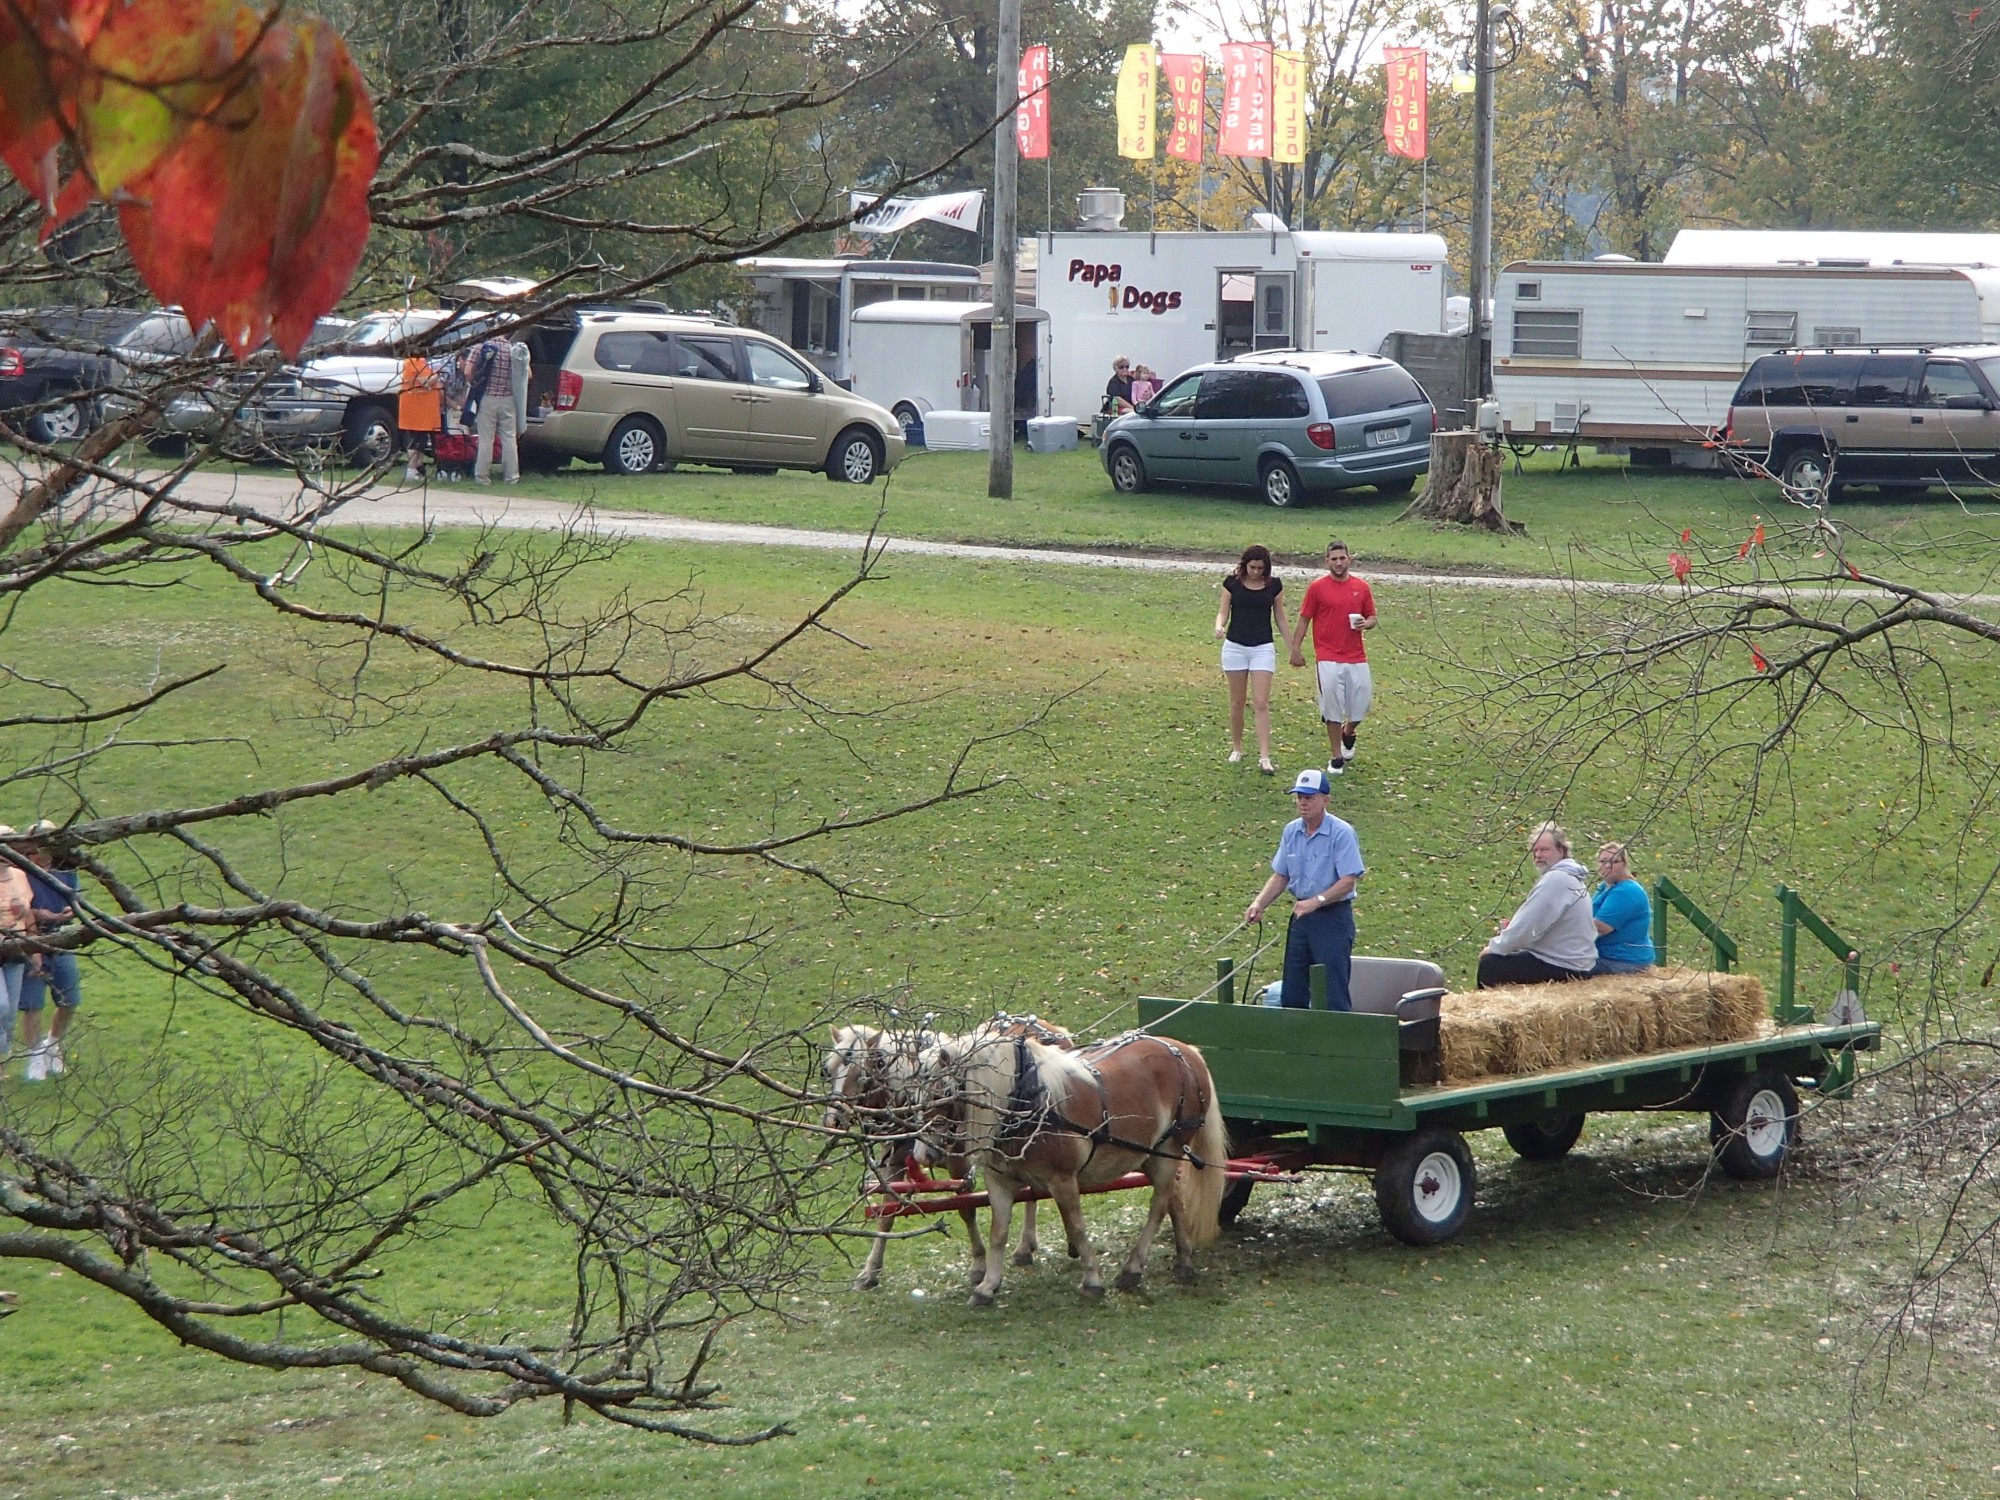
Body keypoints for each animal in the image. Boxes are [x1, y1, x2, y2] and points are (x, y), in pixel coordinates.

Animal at [820, 1024, 1072, 1296]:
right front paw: (870, 1271)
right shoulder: (893, 1162)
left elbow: (966, 1209)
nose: (833, 1120)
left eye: (861, 1074)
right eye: (828, 1070)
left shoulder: (958, 1164)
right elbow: (887, 1214)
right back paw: (1026, 1246)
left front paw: (979, 1265)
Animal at [924, 1032, 1232, 1312]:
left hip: (1170, 1149)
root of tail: (1186, 1051)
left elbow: (1076, 1226)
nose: (927, 1152)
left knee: (1157, 1206)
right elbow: (998, 1233)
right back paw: (1183, 1262)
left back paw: (1132, 1269)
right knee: (1174, 1198)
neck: (1025, 1100)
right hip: (1148, 1154)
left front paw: (1092, 1280)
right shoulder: (999, 1181)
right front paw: (987, 1287)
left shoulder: (1062, 1179)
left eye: (940, 1093)